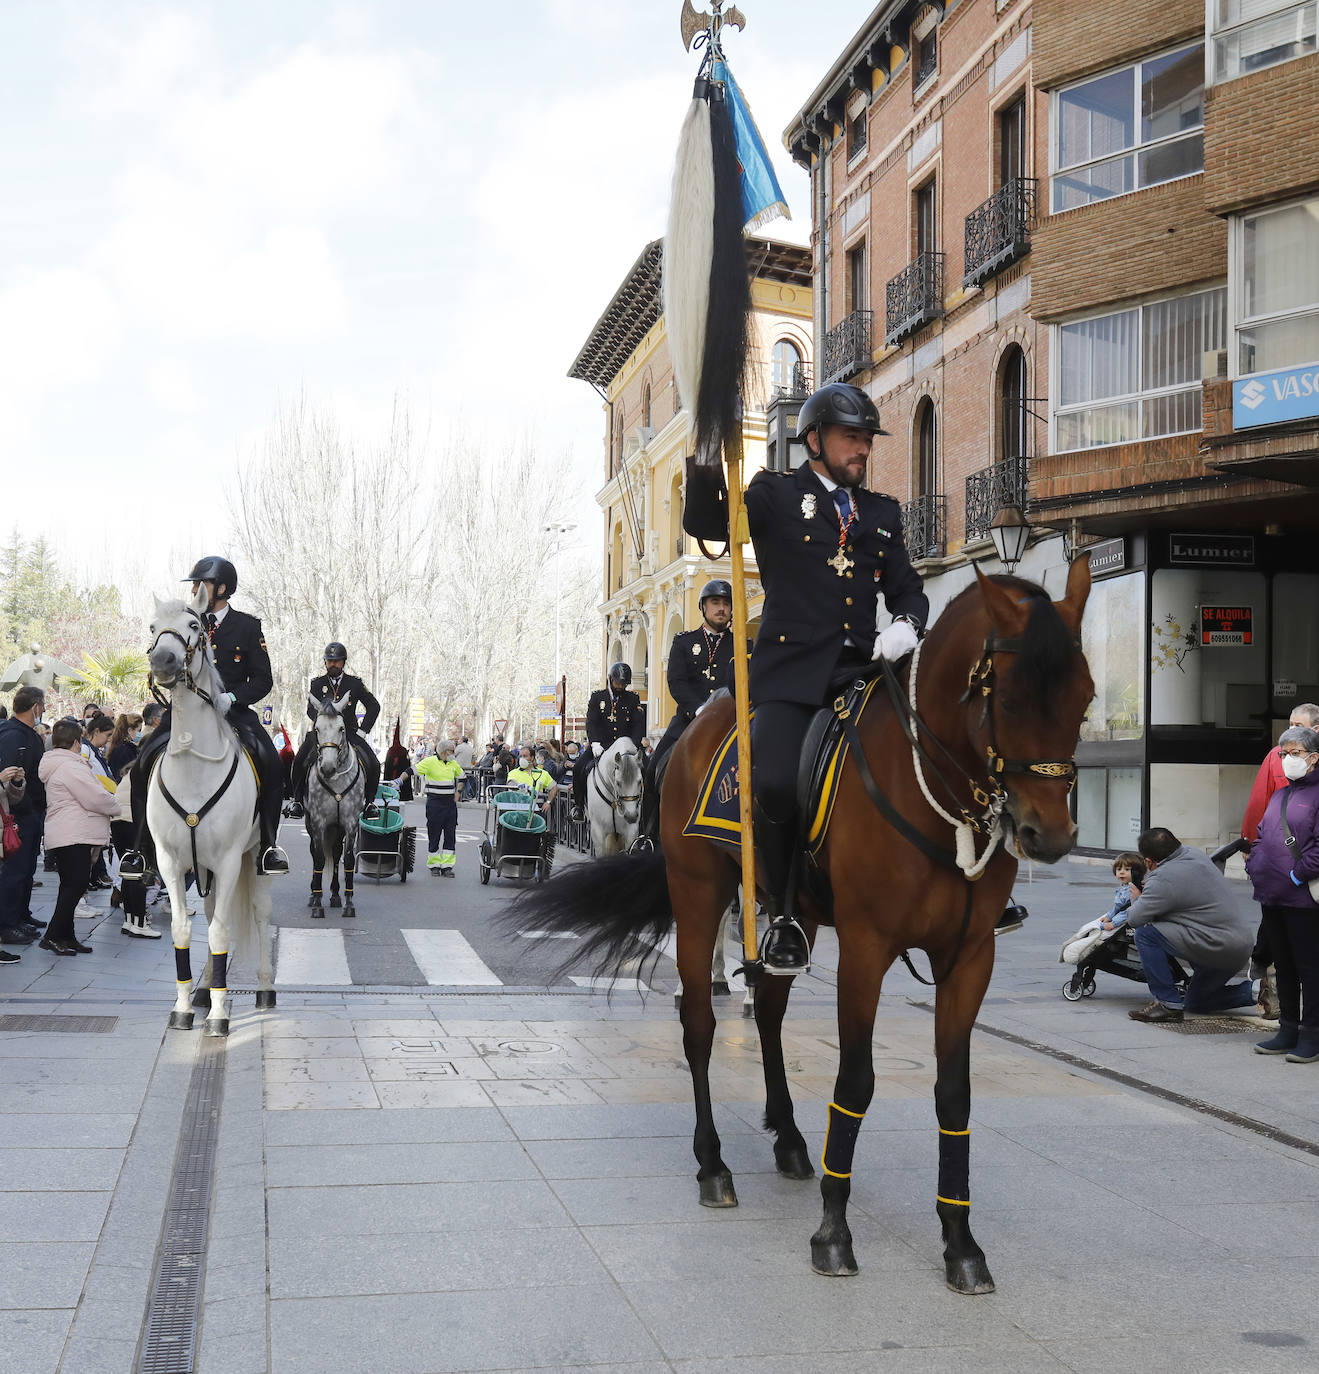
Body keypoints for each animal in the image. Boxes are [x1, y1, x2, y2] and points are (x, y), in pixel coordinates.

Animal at [144, 585, 273, 1033]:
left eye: (194, 625)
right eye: (152, 627)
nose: (163, 662)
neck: (193, 766)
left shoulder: (231, 859)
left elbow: (220, 932)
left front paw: (218, 1016)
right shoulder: (169, 861)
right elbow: (183, 929)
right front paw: (184, 1007)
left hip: (254, 858)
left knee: (258, 915)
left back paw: (264, 989)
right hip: (205, 868)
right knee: (216, 907)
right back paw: (202, 990)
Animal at [516, 560, 1093, 1286]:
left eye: (1085, 699)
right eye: (1011, 701)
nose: (1049, 835)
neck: (933, 791)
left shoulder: (970, 956)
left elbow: (953, 1093)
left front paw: (961, 1242)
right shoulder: (867, 950)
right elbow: (856, 1081)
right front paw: (833, 1232)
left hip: (796, 916)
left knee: (766, 1012)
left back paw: (790, 1139)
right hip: (699, 891)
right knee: (699, 1023)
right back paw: (713, 1164)